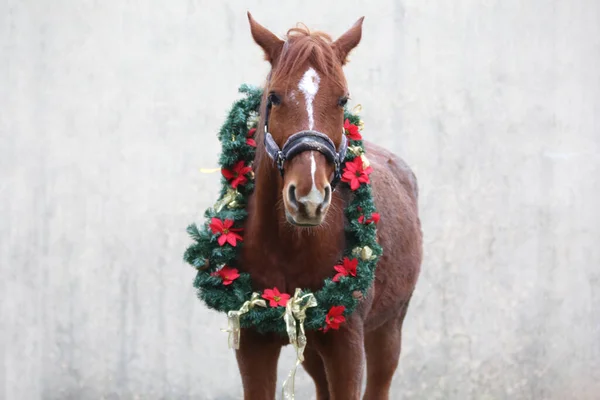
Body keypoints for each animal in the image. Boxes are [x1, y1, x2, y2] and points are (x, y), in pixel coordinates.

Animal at [234, 11, 422, 396]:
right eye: (274, 97)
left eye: (342, 100)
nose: (309, 199)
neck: (290, 247)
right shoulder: (253, 341)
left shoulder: (346, 343)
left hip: (389, 328)